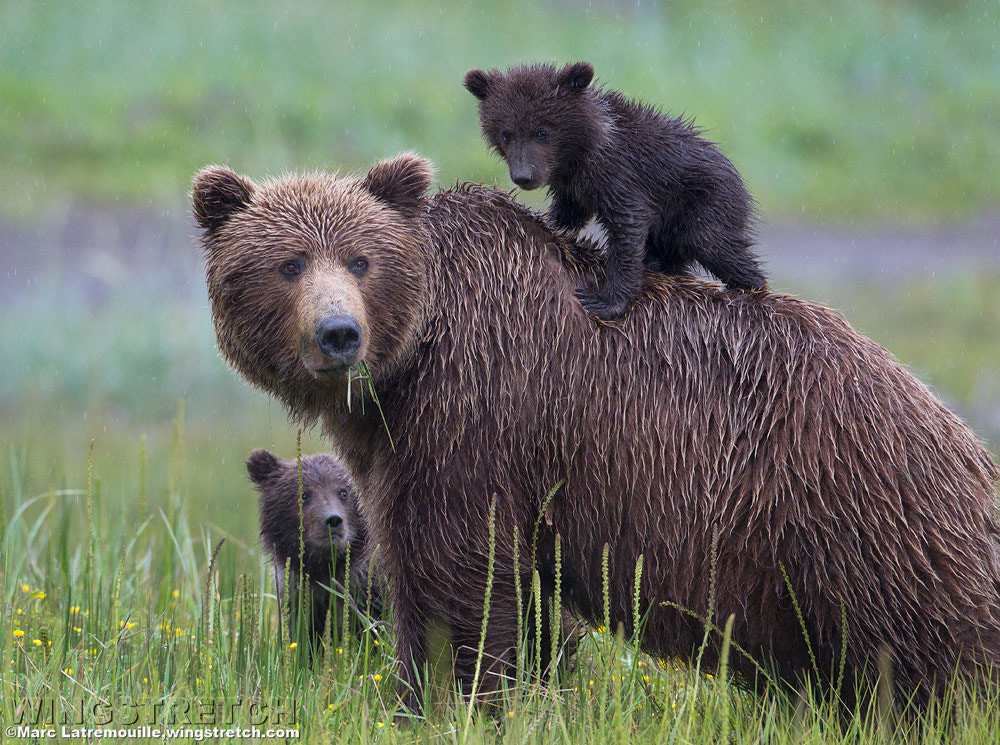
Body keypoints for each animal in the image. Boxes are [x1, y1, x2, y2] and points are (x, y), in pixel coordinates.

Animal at [193, 154, 1000, 712]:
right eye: (288, 263)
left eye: (362, 259)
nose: (339, 334)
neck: (417, 354)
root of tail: (955, 430)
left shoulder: (474, 416)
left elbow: (455, 576)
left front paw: (443, 695)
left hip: (858, 517)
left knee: (934, 658)